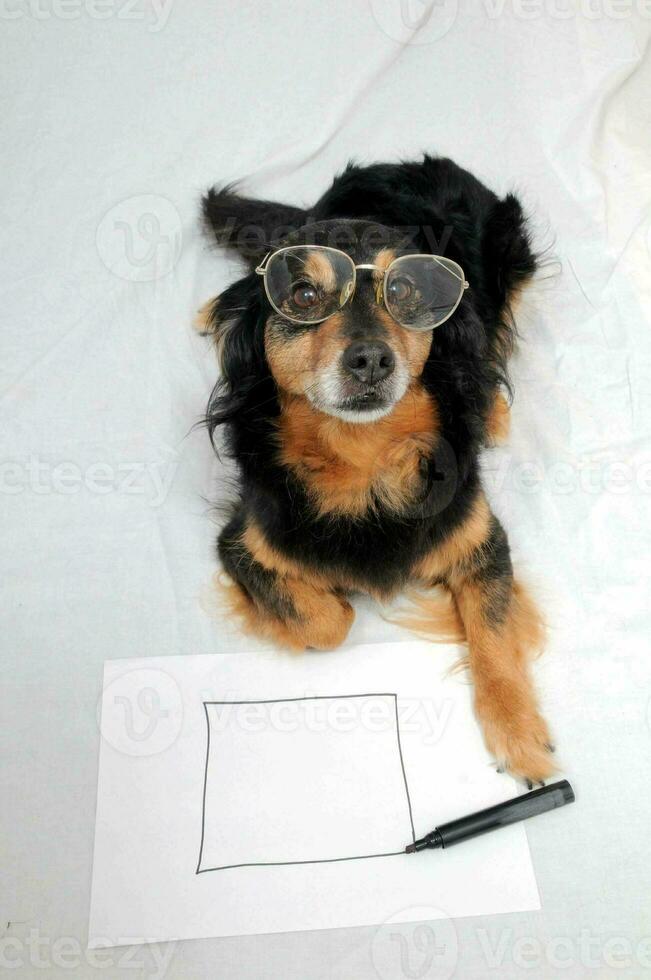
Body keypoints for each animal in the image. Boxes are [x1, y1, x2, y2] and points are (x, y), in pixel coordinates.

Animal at [195, 153, 556, 780]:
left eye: (405, 289)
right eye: (304, 294)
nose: (370, 359)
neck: (361, 457)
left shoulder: (480, 537)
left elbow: (493, 633)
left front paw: (519, 733)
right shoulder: (243, 542)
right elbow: (328, 624)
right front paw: (338, 600)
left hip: (511, 251)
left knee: (492, 344)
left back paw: (493, 407)